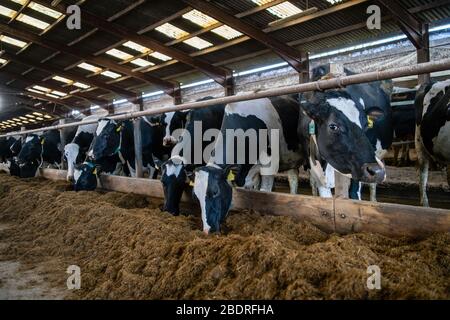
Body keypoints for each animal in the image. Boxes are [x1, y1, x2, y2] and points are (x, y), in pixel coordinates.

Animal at [193, 90, 386, 235]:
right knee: (293, 180)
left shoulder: (269, 164)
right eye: (196, 196)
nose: (207, 230)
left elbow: (264, 192)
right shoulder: (246, 173)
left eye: (215, 192)